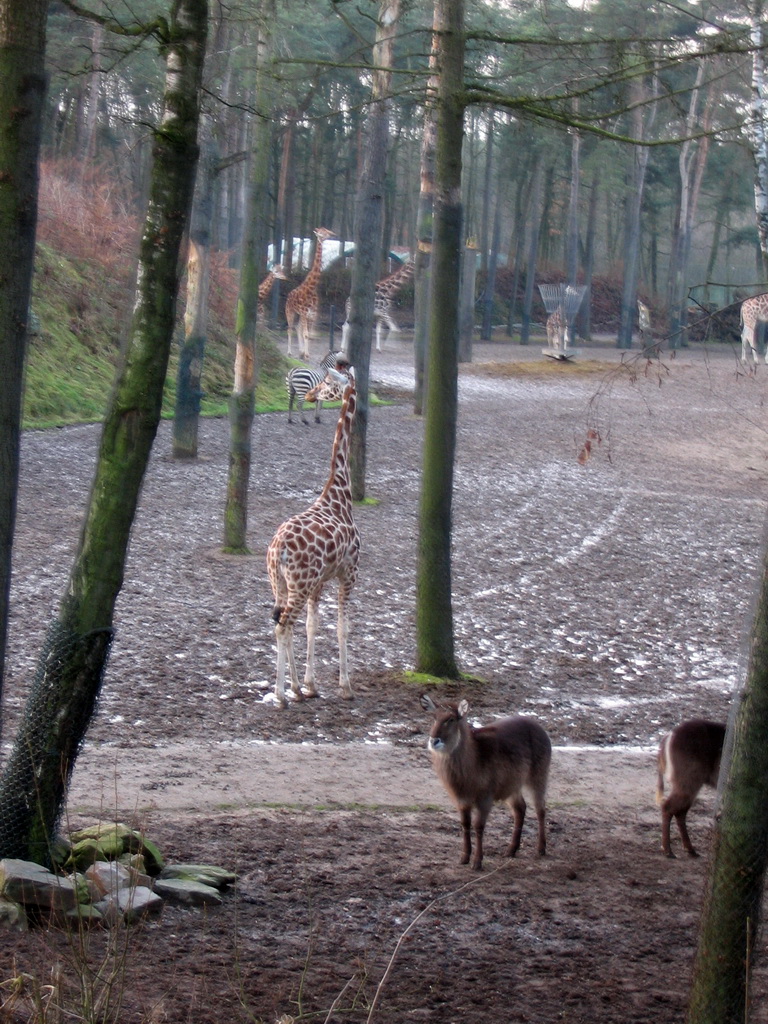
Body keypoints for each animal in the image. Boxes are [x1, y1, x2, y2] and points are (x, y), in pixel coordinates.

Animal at [266, 372, 360, 708]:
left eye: (328, 383)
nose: (310, 395)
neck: (340, 493)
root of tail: (277, 550)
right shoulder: (349, 573)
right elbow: (343, 628)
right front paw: (345, 687)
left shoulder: (320, 583)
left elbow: (312, 626)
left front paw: (310, 684)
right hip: (298, 584)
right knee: (282, 627)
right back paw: (281, 695)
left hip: (281, 583)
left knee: (283, 623)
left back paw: (292, 688)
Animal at [284, 228, 335, 360]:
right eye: (322, 233)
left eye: (327, 230)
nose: (333, 234)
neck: (311, 288)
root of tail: (288, 295)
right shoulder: (304, 313)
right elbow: (306, 334)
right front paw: (306, 355)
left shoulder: (312, 315)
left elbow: (309, 335)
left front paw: (306, 354)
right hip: (290, 312)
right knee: (290, 329)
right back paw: (289, 352)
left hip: (300, 315)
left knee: (297, 328)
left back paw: (301, 352)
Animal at [421, 692, 552, 868]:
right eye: (434, 717)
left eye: (451, 719)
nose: (434, 740)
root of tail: (540, 728)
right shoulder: (462, 799)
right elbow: (465, 824)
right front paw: (464, 858)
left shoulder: (485, 797)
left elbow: (478, 826)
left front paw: (477, 862)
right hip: (512, 785)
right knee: (520, 808)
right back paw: (511, 850)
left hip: (538, 776)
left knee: (540, 809)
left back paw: (540, 849)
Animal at [659, 716, 729, 860]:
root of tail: (670, 735)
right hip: (689, 781)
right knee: (668, 807)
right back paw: (668, 851)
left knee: (680, 811)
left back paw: (690, 850)